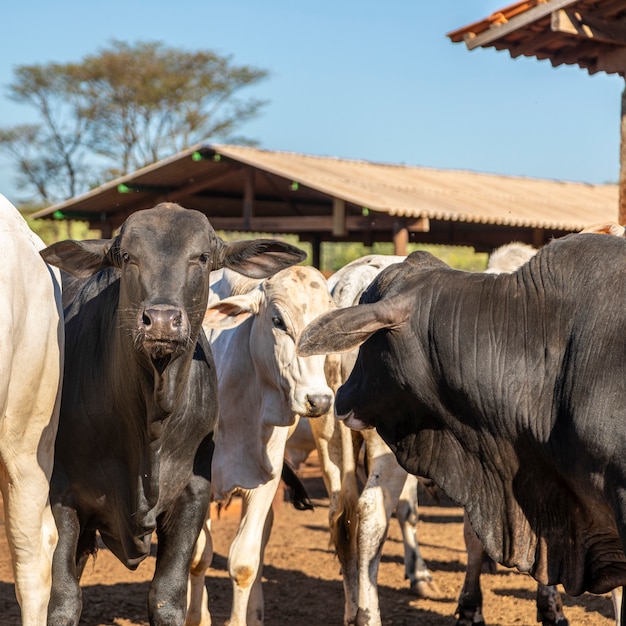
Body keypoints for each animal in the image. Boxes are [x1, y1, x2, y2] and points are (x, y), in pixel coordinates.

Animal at [40, 202, 304, 620]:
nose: (161, 320)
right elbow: (63, 598)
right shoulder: (64, 495)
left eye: (202, 257)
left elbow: (167, 596)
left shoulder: (193, 494)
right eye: (127, 257)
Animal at [185, 264, 334, 624]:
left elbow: (244, 562)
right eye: (278, 320)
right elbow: (198, 556)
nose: (319, 400)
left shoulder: (265, 481)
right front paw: (196, 615)